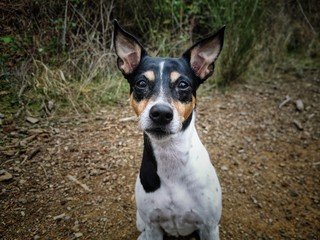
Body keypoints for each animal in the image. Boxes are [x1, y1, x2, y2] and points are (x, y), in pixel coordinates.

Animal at [114, 19, 224, 239]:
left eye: (183, 84)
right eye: (141, 83)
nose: (161, 113)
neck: (171, 157)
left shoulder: (209, 227)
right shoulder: (153, 226)